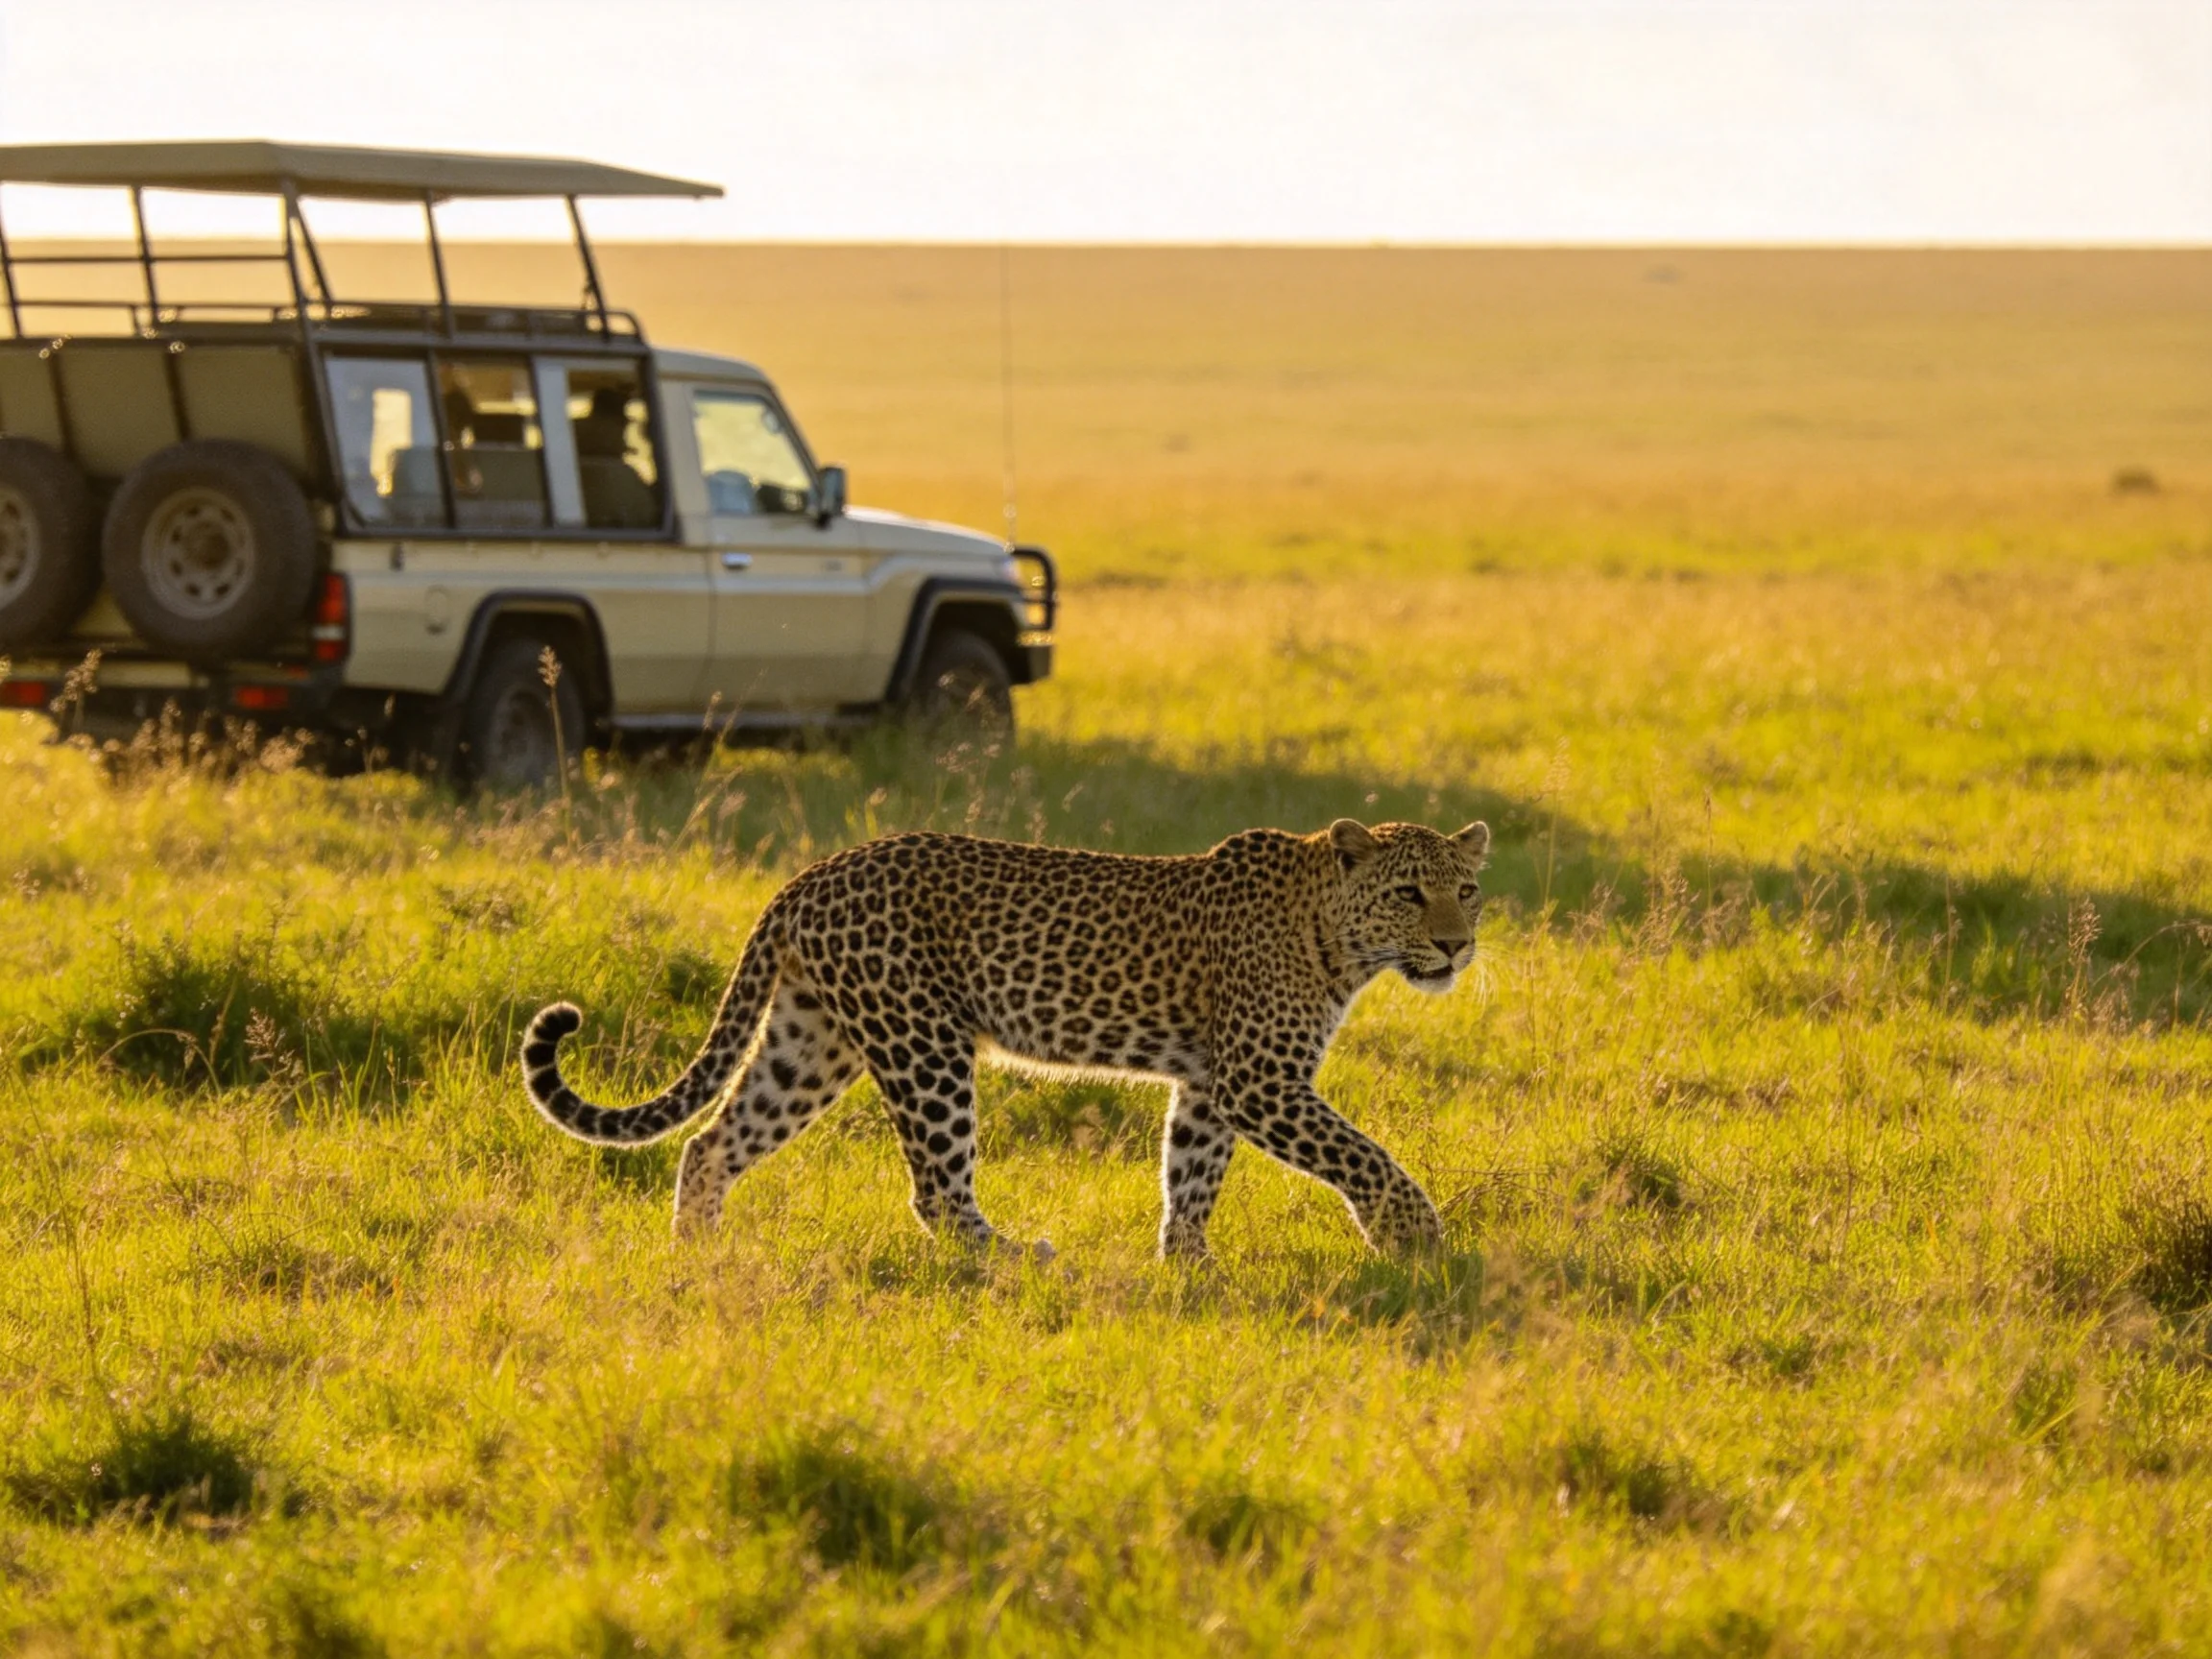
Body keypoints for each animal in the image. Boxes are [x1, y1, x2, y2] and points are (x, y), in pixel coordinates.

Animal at [520, 817, 1489, 1259]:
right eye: (1409, 893)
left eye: (1468, 889)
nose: (1455, 945)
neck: (1339, 941)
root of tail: (813, 873)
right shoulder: (1259, 1082)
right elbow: (1363, 1154)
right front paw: (1415, 1236)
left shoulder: (1211, 1086)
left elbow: (1191, 1176)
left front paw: (1189, 1270)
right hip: (923, 1045)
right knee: (937, 1193)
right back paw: (1019, 1258)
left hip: (812, 1043)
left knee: (712, 1142)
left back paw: (701, 1256)